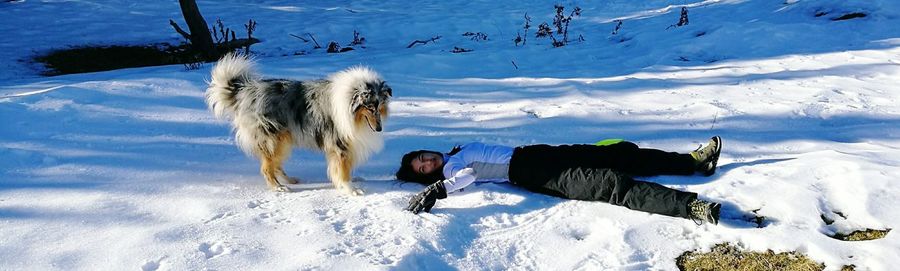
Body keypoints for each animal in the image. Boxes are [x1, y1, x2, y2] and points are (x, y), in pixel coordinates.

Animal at [206, 54, 392, 194]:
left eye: (379, 106)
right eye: (369, 107)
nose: (379, 129)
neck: (350, 106)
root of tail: (244, 90)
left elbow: (342, 169)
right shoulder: (340, 145)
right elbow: (343, 170)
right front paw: (351, 189)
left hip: (283, 140)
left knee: (276, 164)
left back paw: (290, 180)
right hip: (273, 139)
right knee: (267, 167)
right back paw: (278, 187)